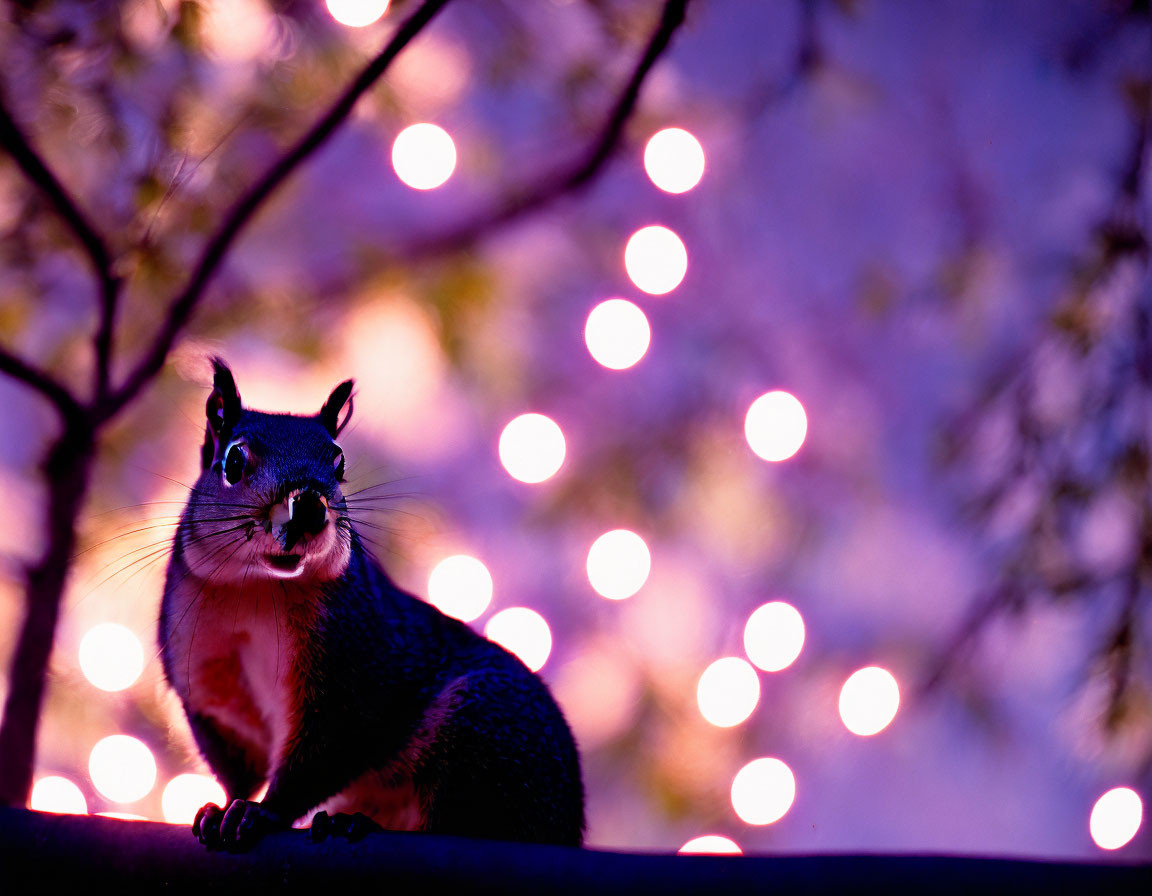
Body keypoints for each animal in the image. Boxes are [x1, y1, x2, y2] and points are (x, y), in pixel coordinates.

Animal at [160, 359, 585, 847]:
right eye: (231, 461)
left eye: (339, 462)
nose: (308, 506)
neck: (258, 588)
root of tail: (567, 826)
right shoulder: (210, 684)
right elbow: (237, 764)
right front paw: (225, 806)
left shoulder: (355, 671)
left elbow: (323, 752)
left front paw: (259, 812)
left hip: (484, 732)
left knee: (459, 823)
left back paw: (354, 823)